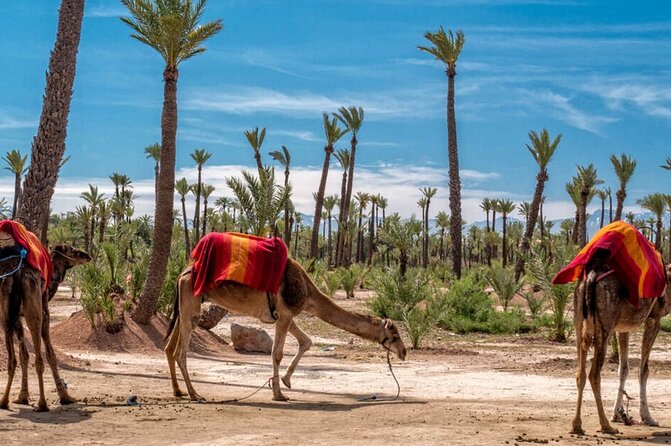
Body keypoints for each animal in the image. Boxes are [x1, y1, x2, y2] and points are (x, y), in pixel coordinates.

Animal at [0, 244, 91, 412]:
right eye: (72, 249)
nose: (87, 255)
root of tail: (18, 275)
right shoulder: (45, 312)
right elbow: (50, 355)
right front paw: (65, 397)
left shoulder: (17, 317)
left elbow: (23, 355)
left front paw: (22, 397)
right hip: (34, 309)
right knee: (39, 358)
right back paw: (42, 404)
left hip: (5, 313)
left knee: (12, 360)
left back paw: (4, 401)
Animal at [165, 258, 407, 401]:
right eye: (394, 335)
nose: (404, 352)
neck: (308, 292)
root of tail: (181, 274)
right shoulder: (286, 313)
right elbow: (277, 353)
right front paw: (278, 393)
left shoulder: (285, 315)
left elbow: (306, 341)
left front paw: (285, 381)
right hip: (191, 304)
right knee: (180, 351)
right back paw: (194, 394)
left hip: (186, 306)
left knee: (169, 347)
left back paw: (178, 391)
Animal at [571, 257, 671, 435]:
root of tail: (590, 277)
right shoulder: (654, 319)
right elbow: (643, 370)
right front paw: (647, 417)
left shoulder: (623, 327)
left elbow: (623, 369)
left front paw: (617, 414)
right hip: (605, 325)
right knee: (594, 374)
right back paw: (606, 426)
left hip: (578, 318)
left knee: (580, 372)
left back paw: (577, 425)